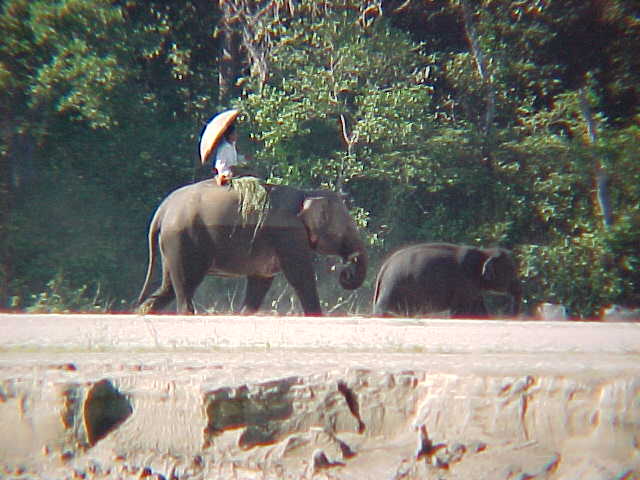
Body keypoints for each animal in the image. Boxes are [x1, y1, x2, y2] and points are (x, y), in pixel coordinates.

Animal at [138, 179, 368, 316]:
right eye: (348, 227)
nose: (345, 273)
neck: (306, 194)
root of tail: (162, 209)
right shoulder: (289, 235)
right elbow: (300, 276)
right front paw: (315, 316)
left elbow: (261, 281)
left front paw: (243, 314)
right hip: (184, 240)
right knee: (186, 283)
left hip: (172, 246)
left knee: (168, 286)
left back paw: (144, 311)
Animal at [372, 242, 524, 316]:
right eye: (512, 271)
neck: (484, 253)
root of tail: (384, 267)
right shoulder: (464, 282)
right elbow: (462, 311)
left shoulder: (472, 287)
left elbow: (478, 309)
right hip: (392, 289)